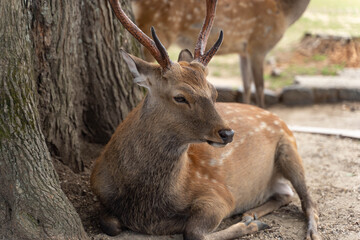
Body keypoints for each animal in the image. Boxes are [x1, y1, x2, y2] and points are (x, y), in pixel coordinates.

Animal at [131, 0, 310, 107]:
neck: (284, 13)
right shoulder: (258, 45)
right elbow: (259, 86)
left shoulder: (243, 51)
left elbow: (246, 85)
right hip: (160, 29)